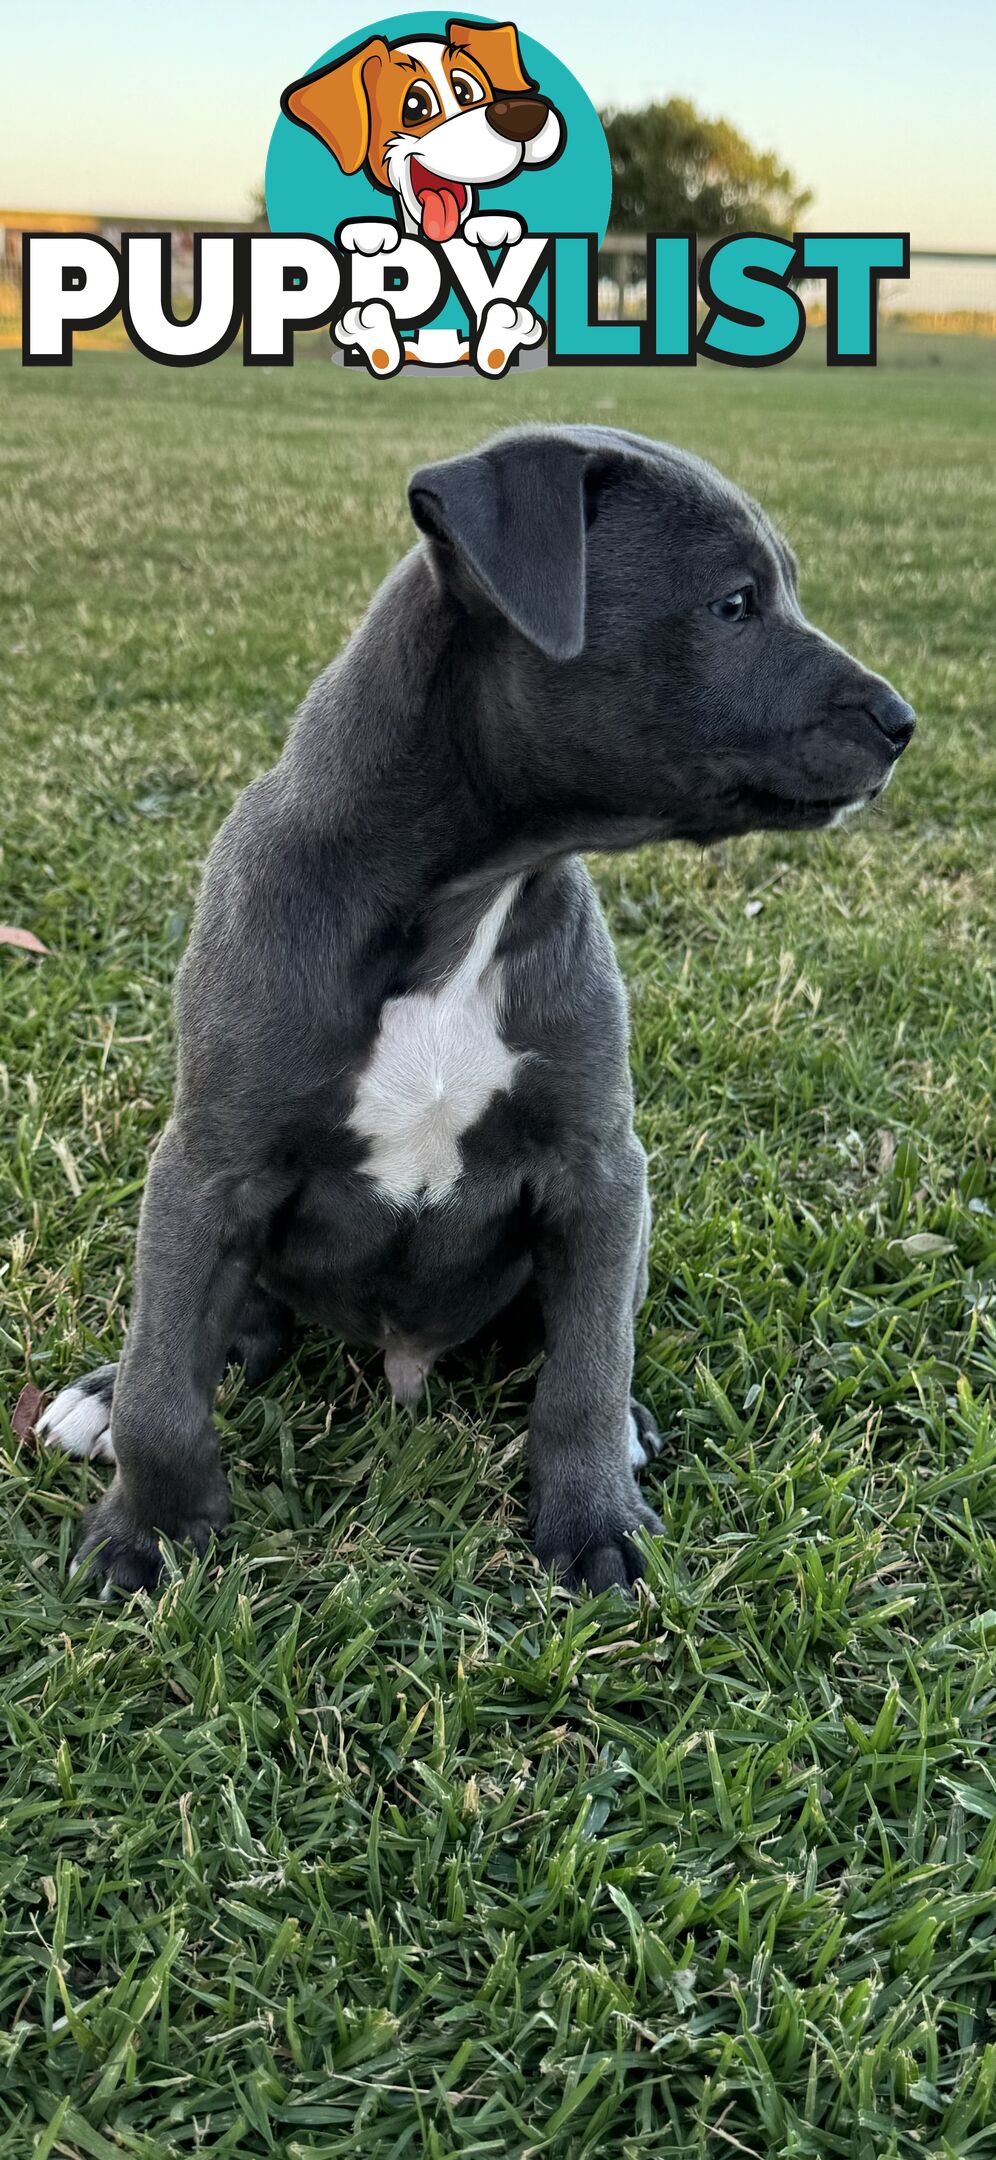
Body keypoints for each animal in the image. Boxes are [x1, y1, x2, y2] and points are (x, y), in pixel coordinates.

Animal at [40, 425, 907, 1607]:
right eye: (734, 604)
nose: (903, 723)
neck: (469, 897)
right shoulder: (210, 1166)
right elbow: (162, 1381)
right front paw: (149, 1535)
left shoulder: (600, 1171)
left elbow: (584, 1369)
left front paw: (596, 1523)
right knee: (223, 1327)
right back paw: (104, 1390)